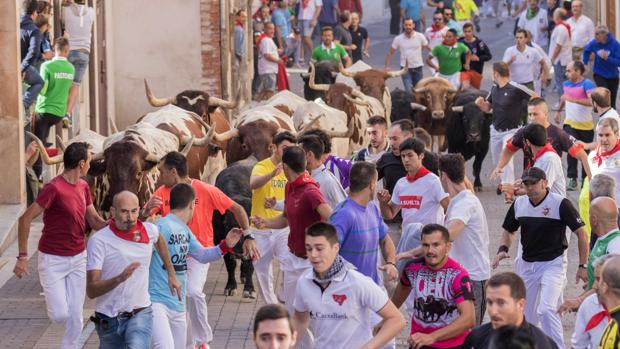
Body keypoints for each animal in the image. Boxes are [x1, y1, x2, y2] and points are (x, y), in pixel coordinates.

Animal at [209, 156, 256, 294]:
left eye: (250, 223)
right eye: (225, 224)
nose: (239, 251)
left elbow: (250, 263)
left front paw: (249, 289)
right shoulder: (219, 238)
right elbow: (230, 264)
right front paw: (230, 286)